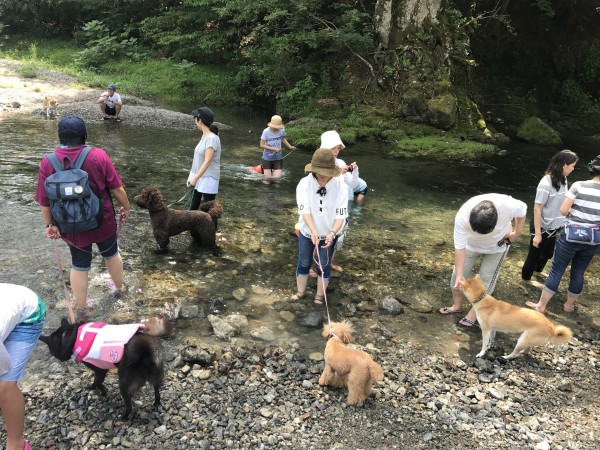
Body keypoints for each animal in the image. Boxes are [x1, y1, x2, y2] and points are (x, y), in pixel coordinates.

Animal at [39, 316, 172, 418]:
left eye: (52, 351)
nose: (58, 358)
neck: (72, 335)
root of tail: (147, 353)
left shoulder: (100, 370)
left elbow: (98, 382)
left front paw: (102, 391)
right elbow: (95, 381)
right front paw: (93, 387)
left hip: (124, 385)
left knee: (129, 406)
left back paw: (123, 417)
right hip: (156, 378)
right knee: (157, 392)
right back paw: (156, 403)